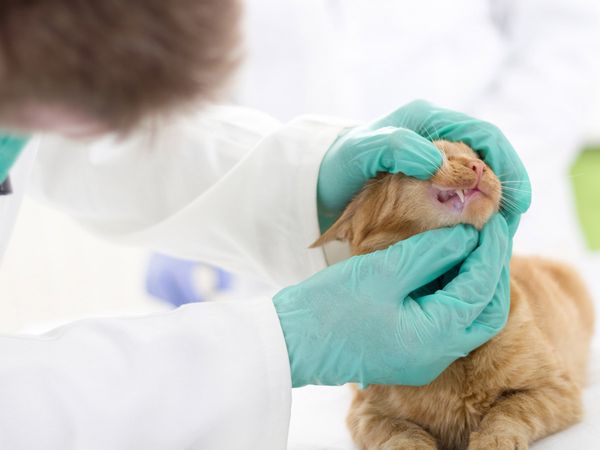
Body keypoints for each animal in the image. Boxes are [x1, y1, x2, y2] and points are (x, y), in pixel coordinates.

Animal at [312, 141, 592, 450]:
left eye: (480, 157)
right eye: (438, 153)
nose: (479, 167)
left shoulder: (556, 388)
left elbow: (507, 411)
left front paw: (492, 441)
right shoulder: (367, 414)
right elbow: (402, 434)